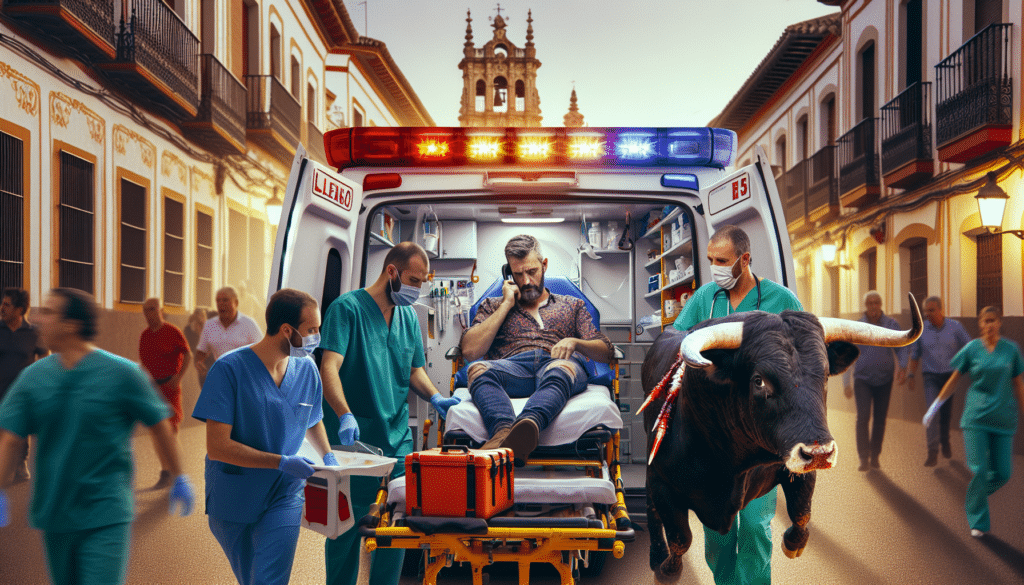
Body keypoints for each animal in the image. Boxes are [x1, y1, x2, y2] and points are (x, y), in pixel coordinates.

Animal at [638, 301, 921, 577]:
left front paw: (792, 544)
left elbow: (801, 512)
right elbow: (679, 538)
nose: (820, 454)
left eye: (825, 375)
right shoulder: (660, 482)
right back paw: (656, 555)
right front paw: (667, 569)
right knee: (652, 511)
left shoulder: (798, 463)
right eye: (759, 381)